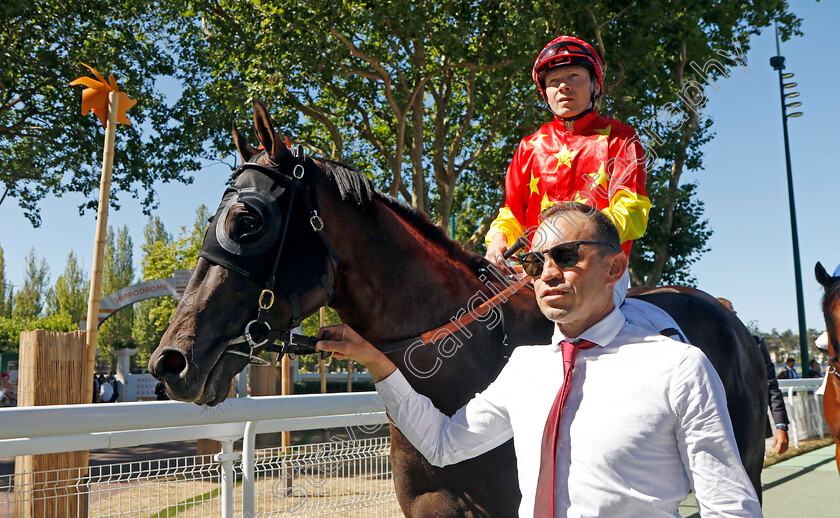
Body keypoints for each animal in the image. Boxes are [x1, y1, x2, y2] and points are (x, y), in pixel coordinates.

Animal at [149, 101, 768, 516]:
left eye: (246, 221)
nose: (169, 362)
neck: (459, 365)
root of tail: (729, 316)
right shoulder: (435, 501)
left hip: (745, 458)